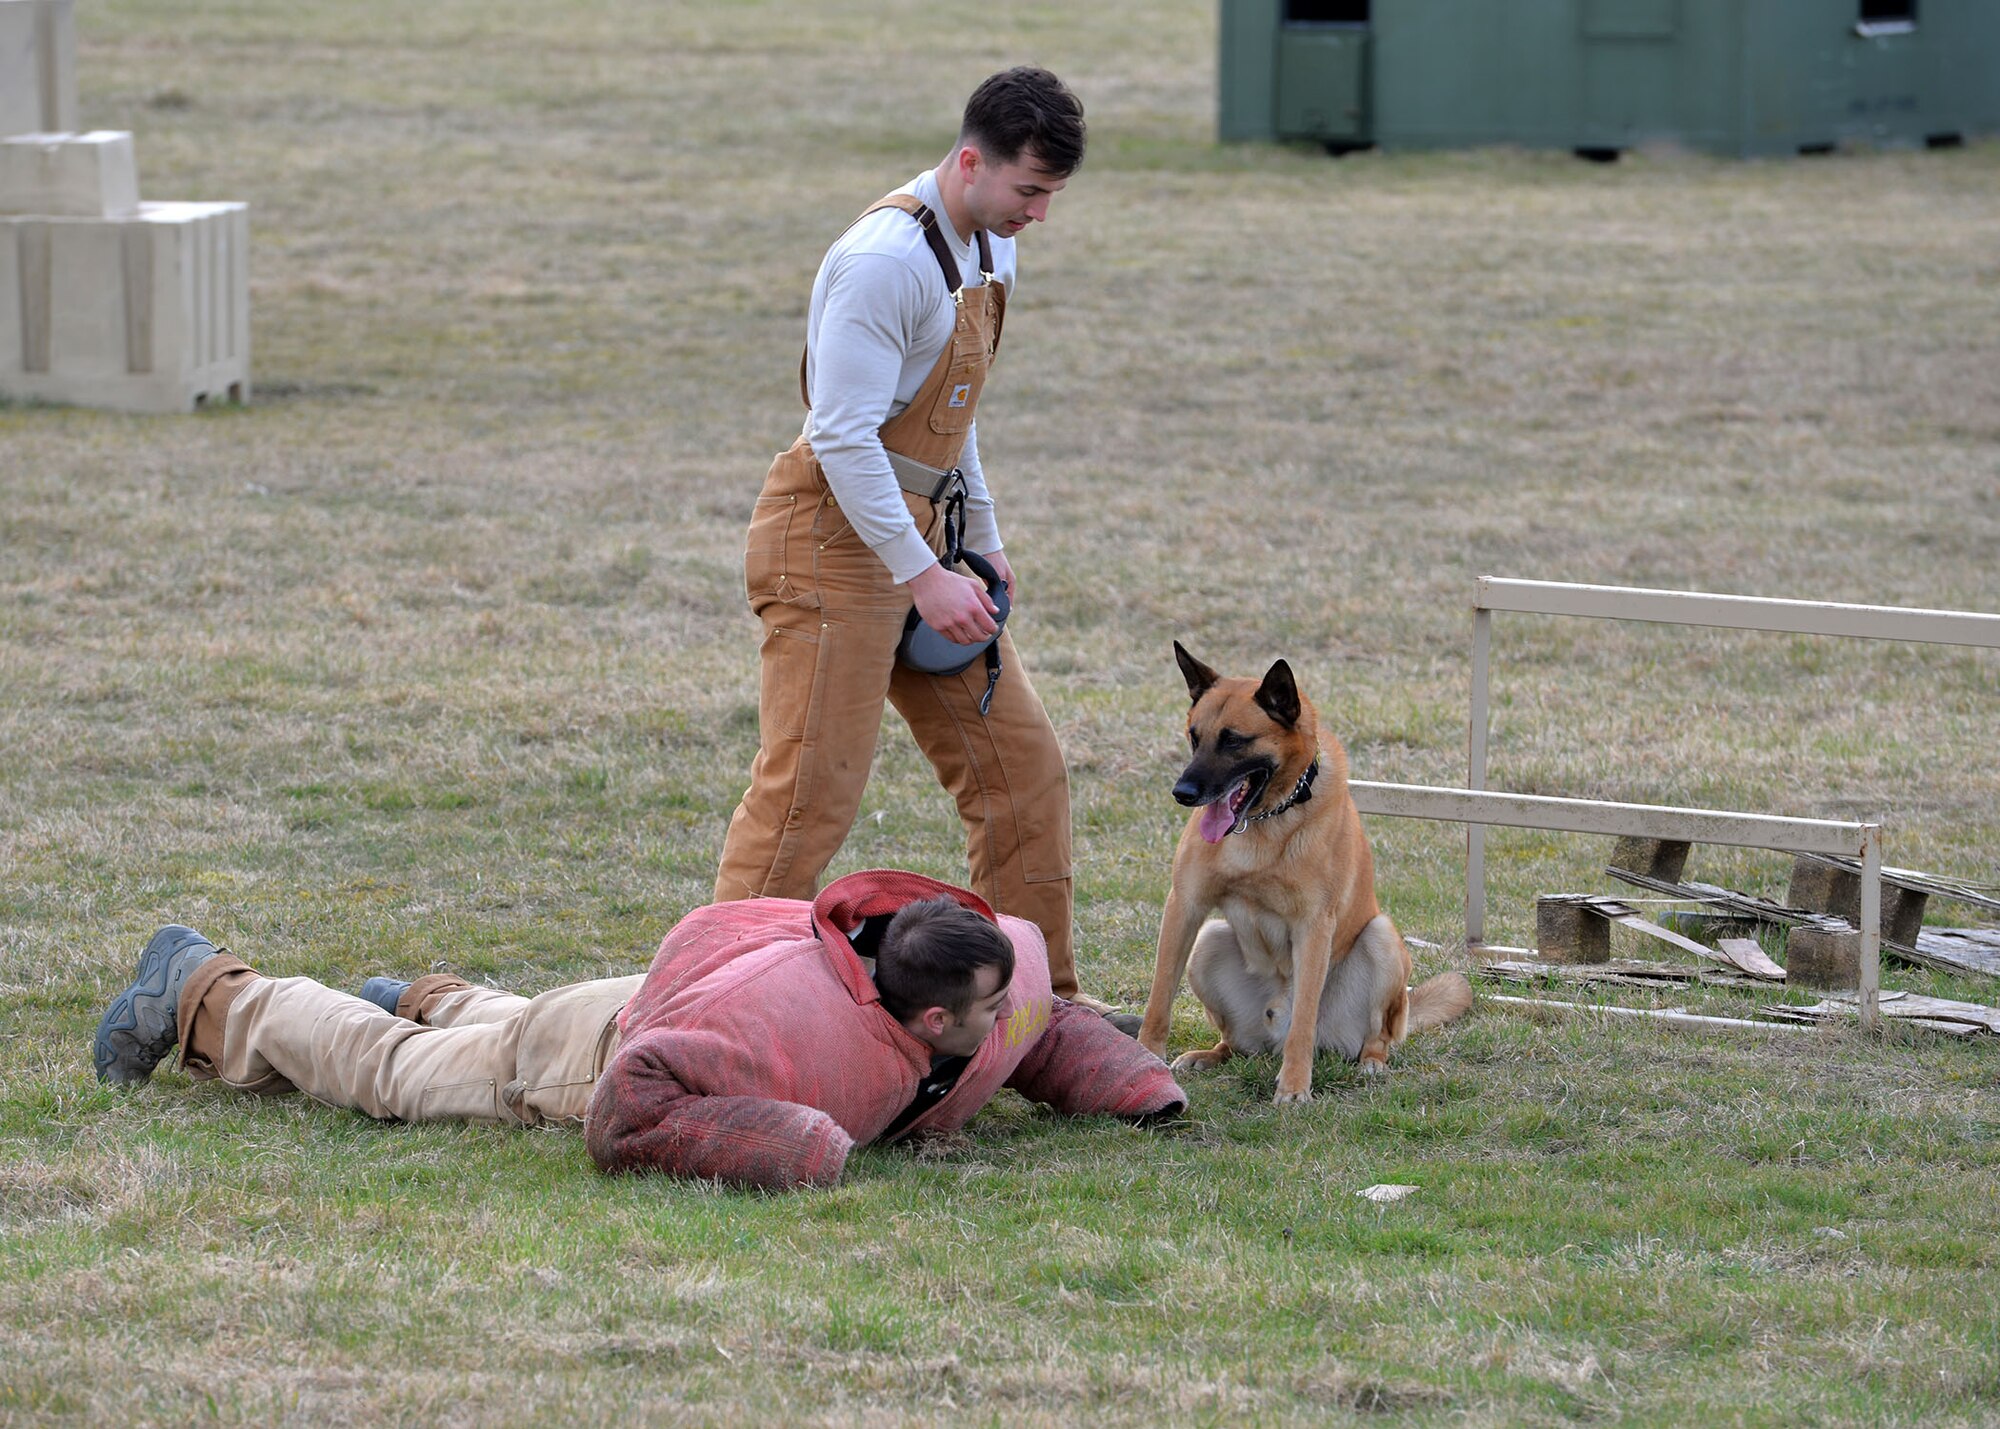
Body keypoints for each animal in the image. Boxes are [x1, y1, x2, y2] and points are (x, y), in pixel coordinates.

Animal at [1144, 640, 1472, 1096]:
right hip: (1208, 941)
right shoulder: (1185, 907)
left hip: (1382, 939)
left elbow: (1303, 1020)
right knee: (1234, 1042)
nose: (1182, 793)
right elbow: (1158, 1000)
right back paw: (1209, 1055)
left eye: (1234, 741)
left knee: (1372, 1035)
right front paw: (1142, 1058)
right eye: (1195, 738)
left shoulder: (1314, 925)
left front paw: (1295, 1087)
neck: (1265, 822)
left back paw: (1371, 1063)